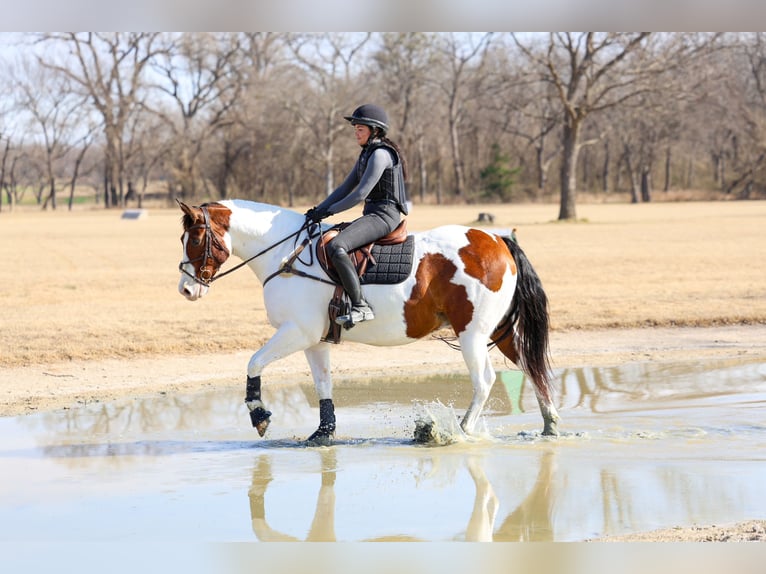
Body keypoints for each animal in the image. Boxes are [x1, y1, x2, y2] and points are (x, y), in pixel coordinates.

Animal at [177, 199, 560, 445]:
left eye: (195, 239)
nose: (186, 289)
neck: (287, 254)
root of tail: (498, 239)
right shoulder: (314, 341)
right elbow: (323, 385)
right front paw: (323, 433)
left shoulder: (296, 333)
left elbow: (254, 363)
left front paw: (259, 416)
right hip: (501, 332)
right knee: (531, 367)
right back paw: (550, 424)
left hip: (472, 335)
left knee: (485, 380)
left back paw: (460, 430)